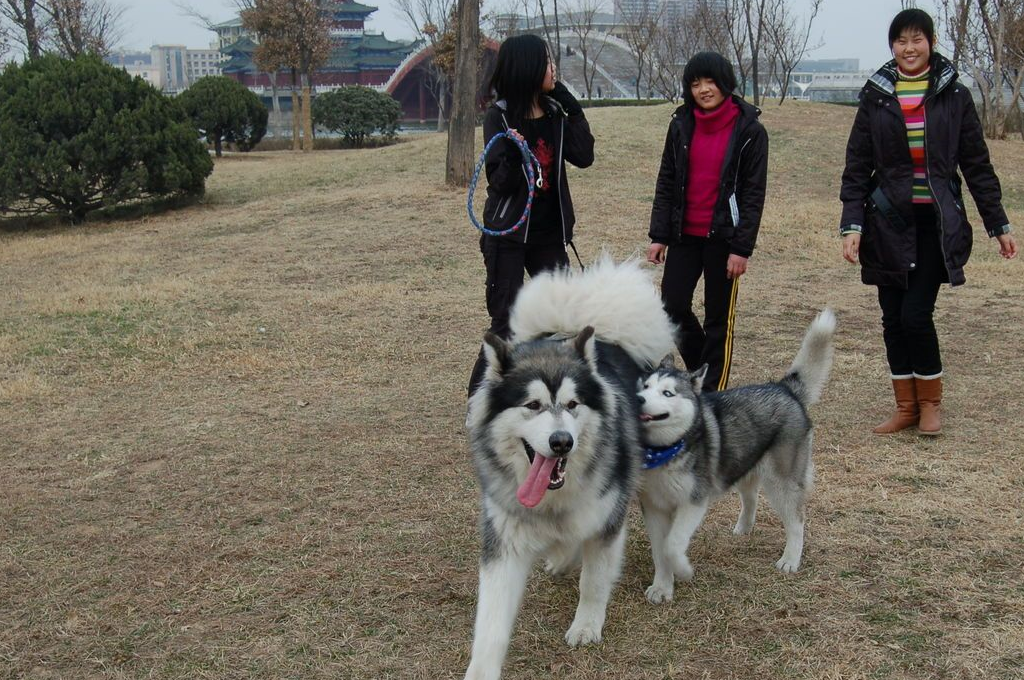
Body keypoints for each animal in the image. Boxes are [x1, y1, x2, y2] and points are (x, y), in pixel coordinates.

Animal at [462, 259, 671, 680]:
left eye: (573, 404)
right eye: (532, 405)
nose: (561, 442)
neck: (550, 498)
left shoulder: (606, 518)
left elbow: (593, 579)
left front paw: (587, 625)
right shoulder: (503, 541)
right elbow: (490, 623)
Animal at [634, 311, 835, 602]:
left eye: (667, 393)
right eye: (646, 386)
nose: (637, 399)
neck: (666, 450)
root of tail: (784, 388)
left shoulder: (693, 502)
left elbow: (672, 546)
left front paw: (683, 570)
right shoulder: (654, 507)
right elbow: (660, 552)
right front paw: (662, 587)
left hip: (782, 483)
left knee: (797, 520)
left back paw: (790, 560)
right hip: (743, 464)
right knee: (751, 498)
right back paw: (744, 528)